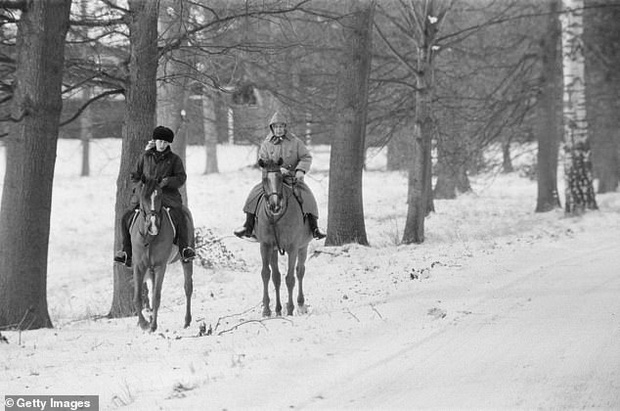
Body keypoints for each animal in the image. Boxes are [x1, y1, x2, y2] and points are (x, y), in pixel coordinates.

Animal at [132, 177, 195, 332]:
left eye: (160, 195)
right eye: (143, 196)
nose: (153, 225)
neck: (149, 238)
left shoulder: (161, 266)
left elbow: (156, 297)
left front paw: (153, 326)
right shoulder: (139, 266)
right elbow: (137, 297)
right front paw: (144, 324)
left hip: (186, 258)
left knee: (188, 287)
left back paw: (187, 321)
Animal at [253, 157, 312, 316]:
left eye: (280, 177)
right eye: (264, 178)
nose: (275, 205)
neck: (276, 218)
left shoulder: (293, 248)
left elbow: (290, 278)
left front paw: (290, 309)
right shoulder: (266, 246)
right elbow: (266, 274)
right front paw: (267, 310)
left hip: (303, 247)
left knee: (300, 271)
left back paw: (300, 304)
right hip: (274, 250)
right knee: (276, 277)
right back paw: (278, 309)